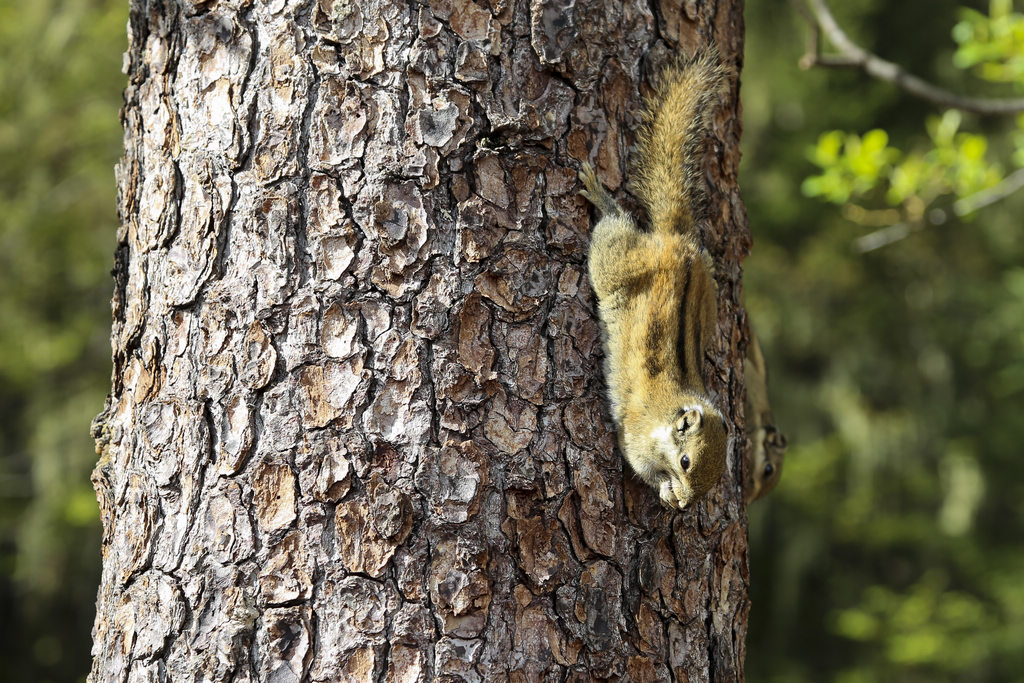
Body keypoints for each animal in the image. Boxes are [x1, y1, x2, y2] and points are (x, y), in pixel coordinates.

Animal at [581, 46, 733, 507]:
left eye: (715, 477)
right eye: (686, 462)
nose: (686, 505)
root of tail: (676, 240)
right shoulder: (636, 439)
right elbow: (642, 467)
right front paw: (666, 491)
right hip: (614, 261)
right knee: (612, 227)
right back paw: (602, 197)